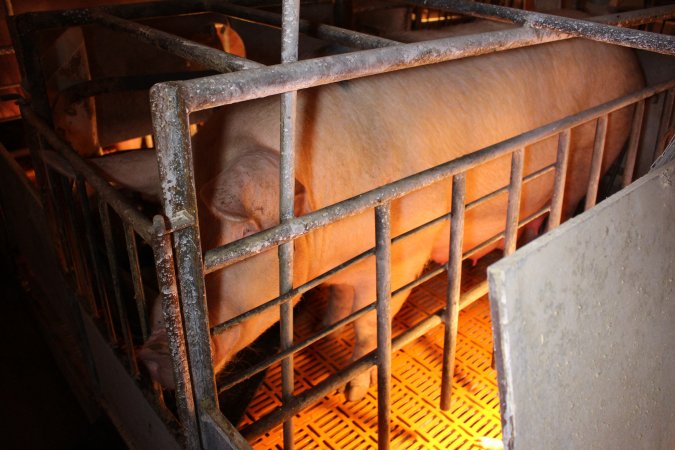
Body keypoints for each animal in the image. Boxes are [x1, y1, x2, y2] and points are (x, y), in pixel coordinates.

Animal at [91, 37, 644, 400]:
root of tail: (632, 61)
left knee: (560, 210)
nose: (155, 356)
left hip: (593, 155)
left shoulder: (405, 252)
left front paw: (353, 391)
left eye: (246, 235)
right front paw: (327, 329)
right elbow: (342, 310)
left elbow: (370, 327)